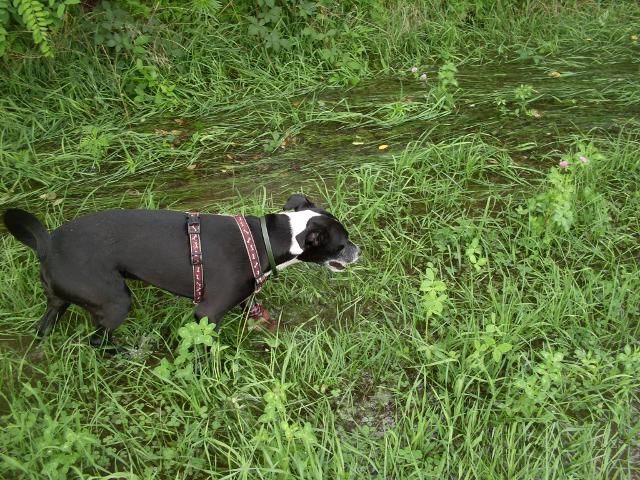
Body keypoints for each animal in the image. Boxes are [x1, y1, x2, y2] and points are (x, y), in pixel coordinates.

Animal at [3, 194, 360, 345]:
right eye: (342, 244)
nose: (360, 250)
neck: (264, 240)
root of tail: (47, 247)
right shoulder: (207, 312)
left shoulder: (245, 296)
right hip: (116, 301)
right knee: (97, 341)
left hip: (60, 301)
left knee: (46, 326)